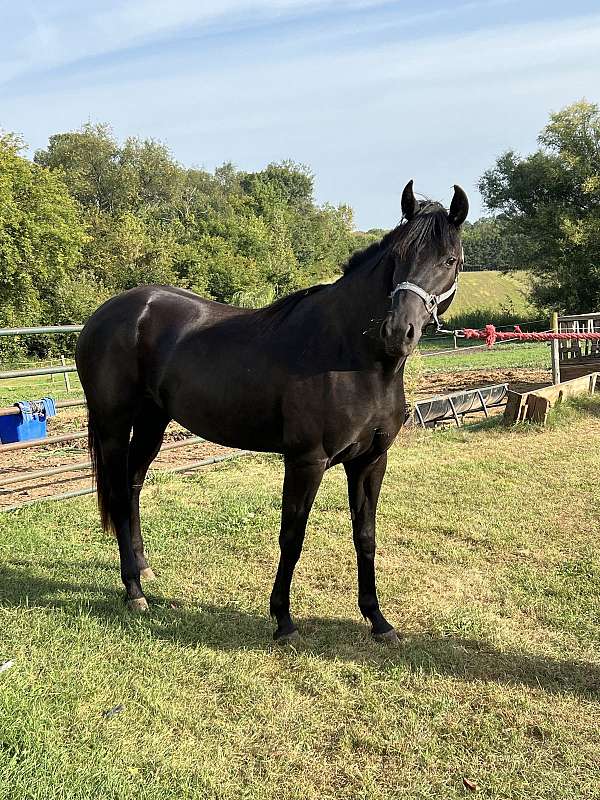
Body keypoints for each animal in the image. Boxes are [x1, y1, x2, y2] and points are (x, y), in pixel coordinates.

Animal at [76, 180, 468, 644]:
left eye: (450, 260)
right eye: (398, 257)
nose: (397, 332)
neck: (354, 358)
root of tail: (108, 313)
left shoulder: (371, 460)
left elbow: (366, 537)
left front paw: (378, 621)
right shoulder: (306, 461)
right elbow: (292, 537)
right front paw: (283, 620)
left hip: (154, 422)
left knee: (133, 486)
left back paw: (144, 572)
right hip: (114, 426)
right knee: (120, 494)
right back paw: (134, 591)